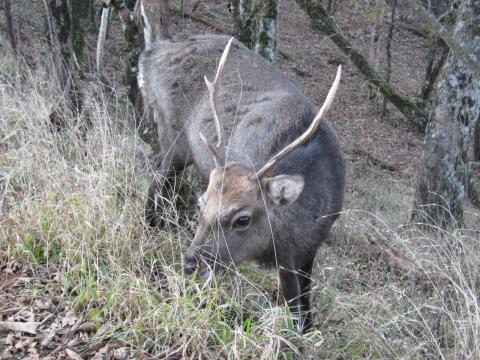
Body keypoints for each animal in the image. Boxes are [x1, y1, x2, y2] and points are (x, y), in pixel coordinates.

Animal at [136, 0, 344, 334]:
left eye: (242, 219)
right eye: (202, 204)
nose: (190, 263)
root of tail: (154, 51)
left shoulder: (312, 246)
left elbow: (306, 302)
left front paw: (311, 331)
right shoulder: (286, 256)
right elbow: (292, 306)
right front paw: (296, 336)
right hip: (171, 131)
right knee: (157, 179)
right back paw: (148, 230)